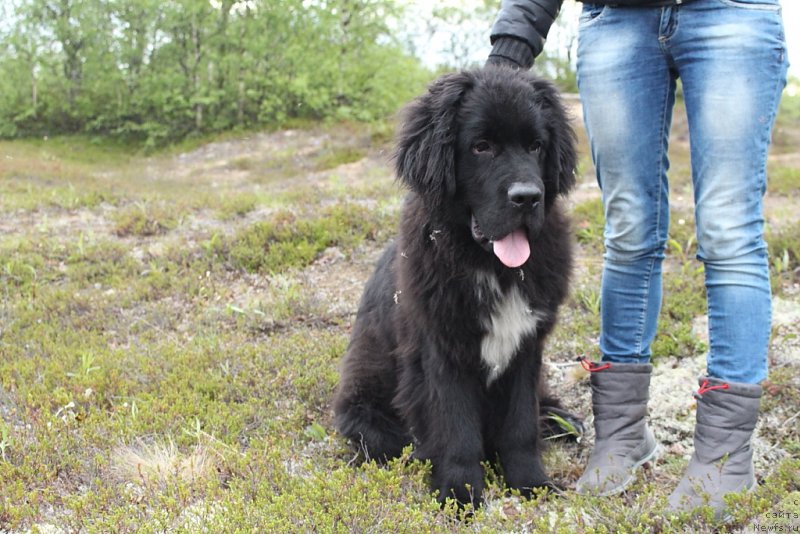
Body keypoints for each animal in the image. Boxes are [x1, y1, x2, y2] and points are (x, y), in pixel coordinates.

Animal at [334, 68, 580, 510]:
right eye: (481, 147)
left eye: (536, 146)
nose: (527, 197)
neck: (490, 267)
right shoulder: (441, 351)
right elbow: (456, 430)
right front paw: (460, 494)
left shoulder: (526, 346)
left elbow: (521, 425)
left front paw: (531, 483)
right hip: (367, 415)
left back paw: (560, 418)